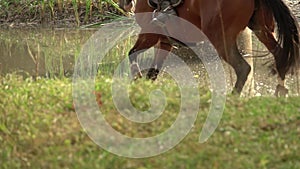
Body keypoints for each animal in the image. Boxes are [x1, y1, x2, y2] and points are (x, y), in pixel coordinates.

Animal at [118, 0, 298, 95]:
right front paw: (143, 87)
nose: (124, 6)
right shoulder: (164, 43)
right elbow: (153, 72)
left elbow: (132, 54)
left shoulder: (150, 34)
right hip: (261, 29)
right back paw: (281, 91)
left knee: (243, 68)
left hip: (219, 37)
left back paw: (232, 97)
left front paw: (137, 81)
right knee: (279, 54)